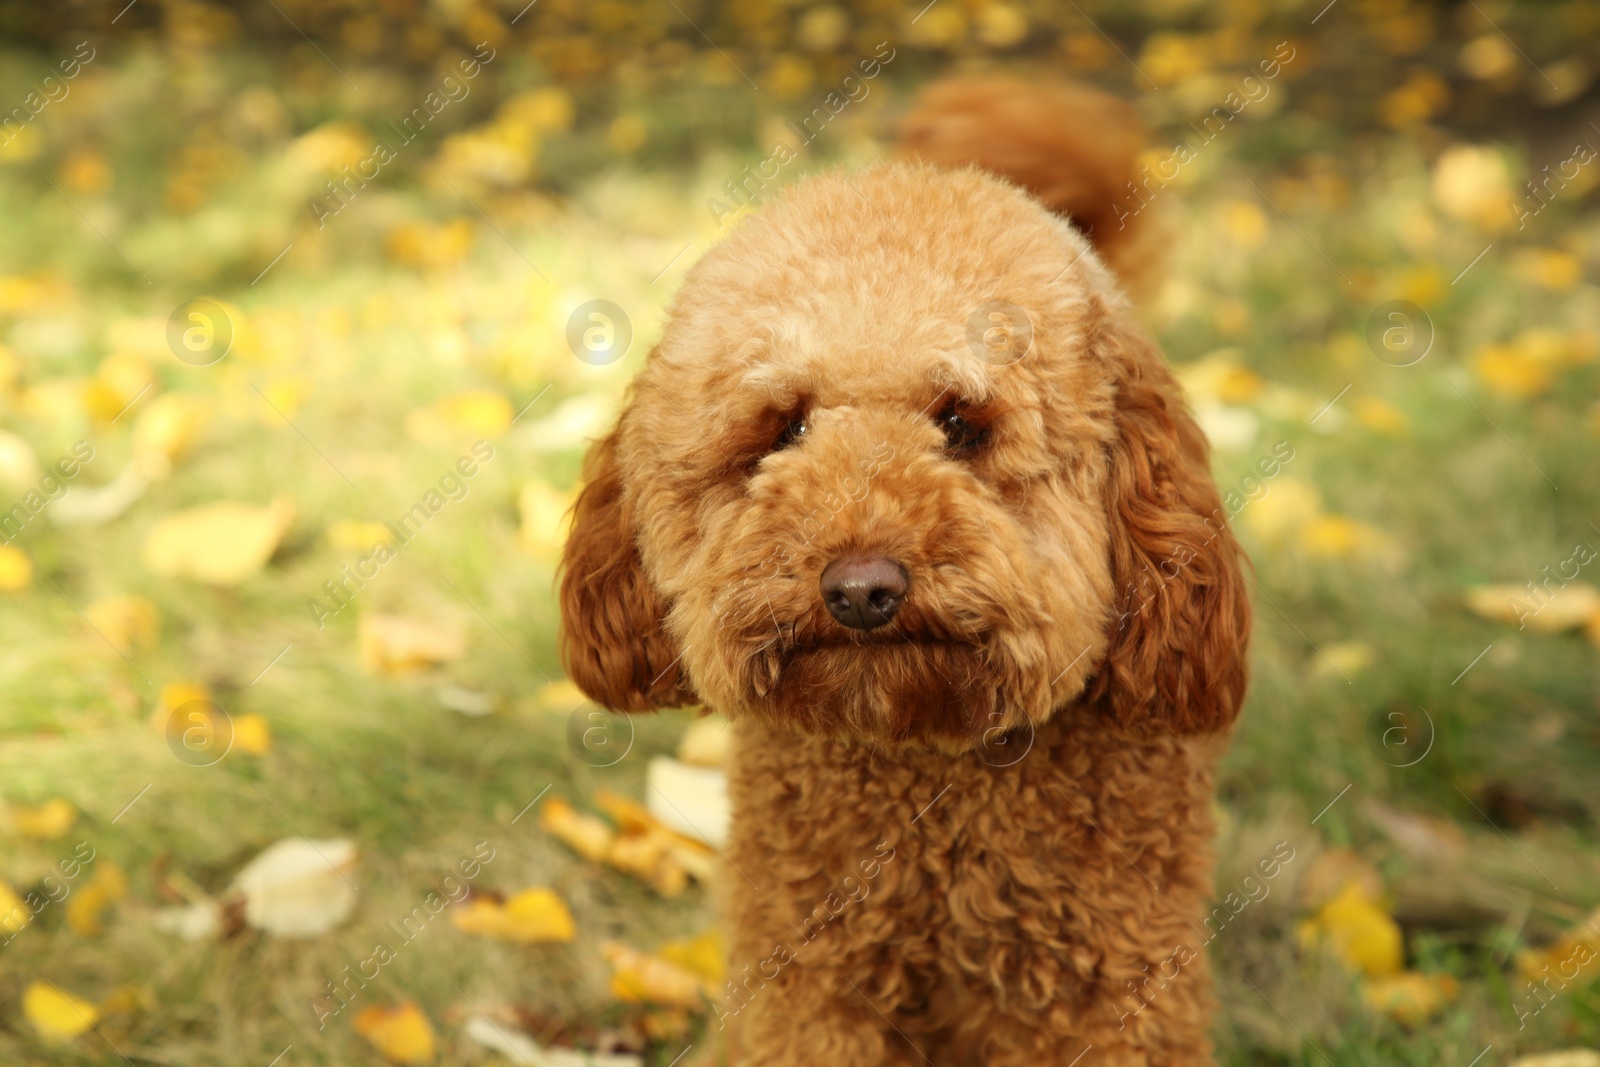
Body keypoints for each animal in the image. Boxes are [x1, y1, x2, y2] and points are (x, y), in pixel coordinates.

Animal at [563, 77, 1248, 1067]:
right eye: (784, 427)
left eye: (961, 422)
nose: (860, 589)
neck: (924, 790)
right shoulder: (807, 982)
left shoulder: (1110, 984)